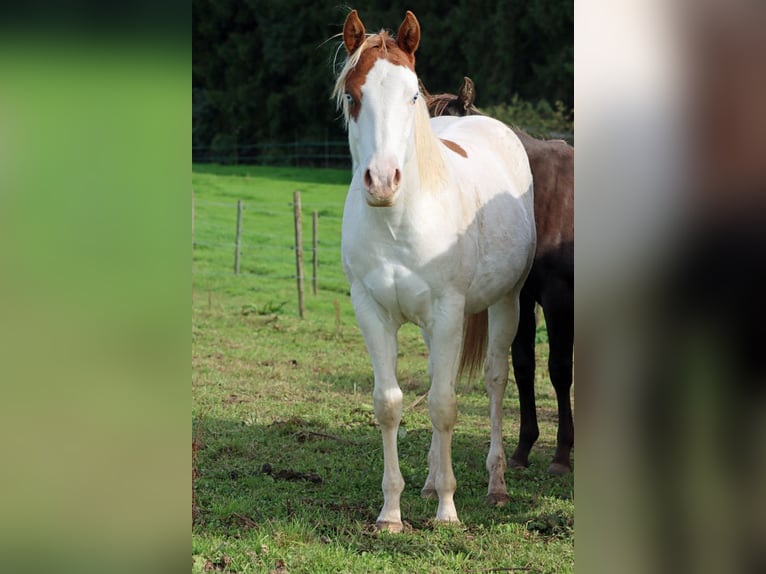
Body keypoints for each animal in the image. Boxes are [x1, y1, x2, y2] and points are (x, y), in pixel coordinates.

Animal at [334, 10, 536, 531]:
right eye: (353, 96)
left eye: (411, 95)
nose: (383, 181)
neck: (398, 220)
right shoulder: (371, 311)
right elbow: (390, 404)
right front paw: (391, 512)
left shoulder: (449, 311)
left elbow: (445, 406)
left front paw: (447, 509)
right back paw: (427, 481)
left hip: (507, 302)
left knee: (494, 380)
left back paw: (496, 484)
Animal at [422, 77, 574, 475]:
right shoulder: (520, 295)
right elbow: (523, 365)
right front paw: (523, 449)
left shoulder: (559, 300)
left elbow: (558, 370)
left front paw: (561, 455)